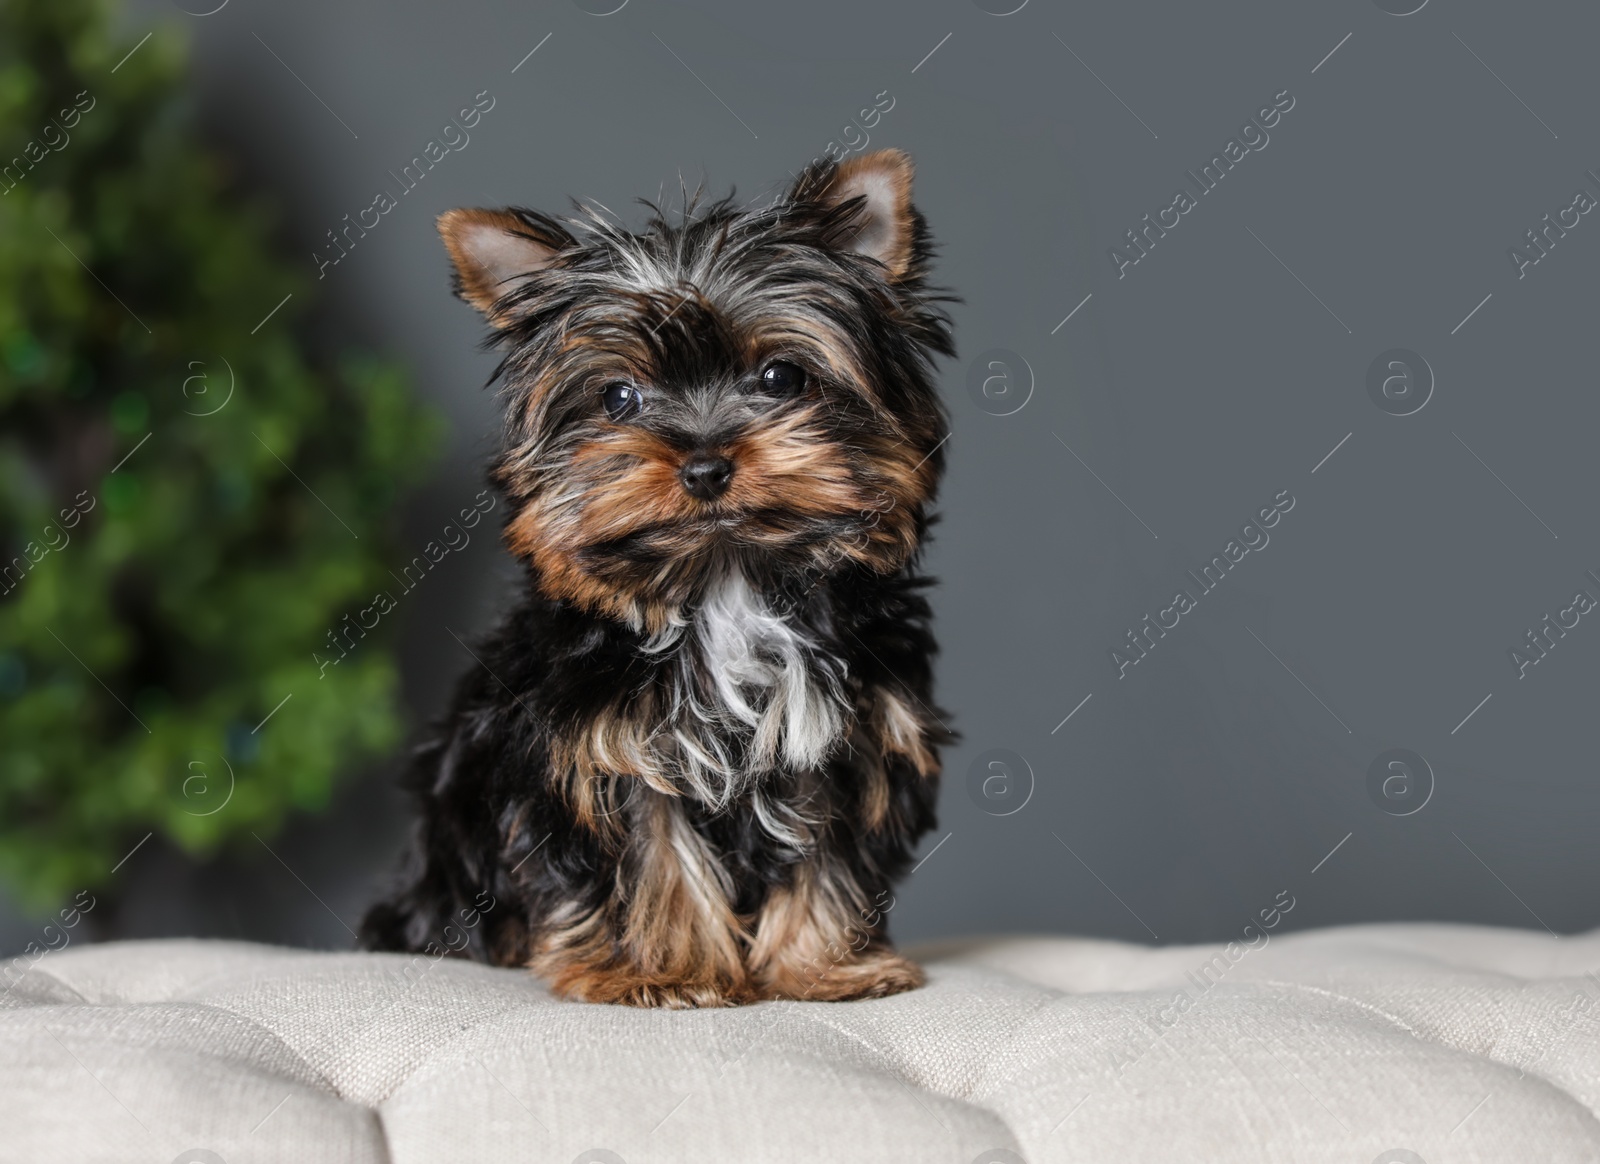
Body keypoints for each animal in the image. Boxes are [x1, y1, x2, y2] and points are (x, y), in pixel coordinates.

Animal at [361, 147, 953, 1010]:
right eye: (619, 396)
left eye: (781, 378)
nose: (705, 465)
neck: (725, 581)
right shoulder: (601, 750)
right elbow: (652, 857)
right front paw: (661, 971)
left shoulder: (848, 740)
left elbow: (826, 855)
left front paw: (823, 968)